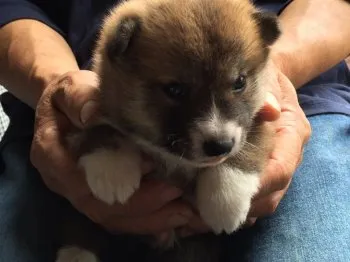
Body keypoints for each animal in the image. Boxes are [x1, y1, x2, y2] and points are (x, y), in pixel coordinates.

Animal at [58, 0, 282, 260]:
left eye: (239, 82)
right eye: (175, 90)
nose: (220, 146)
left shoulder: (263, 115)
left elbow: (250, 142)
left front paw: (225, 200)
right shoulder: (92, 110)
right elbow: (102, 126)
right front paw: (111, 168)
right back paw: (75, 253)